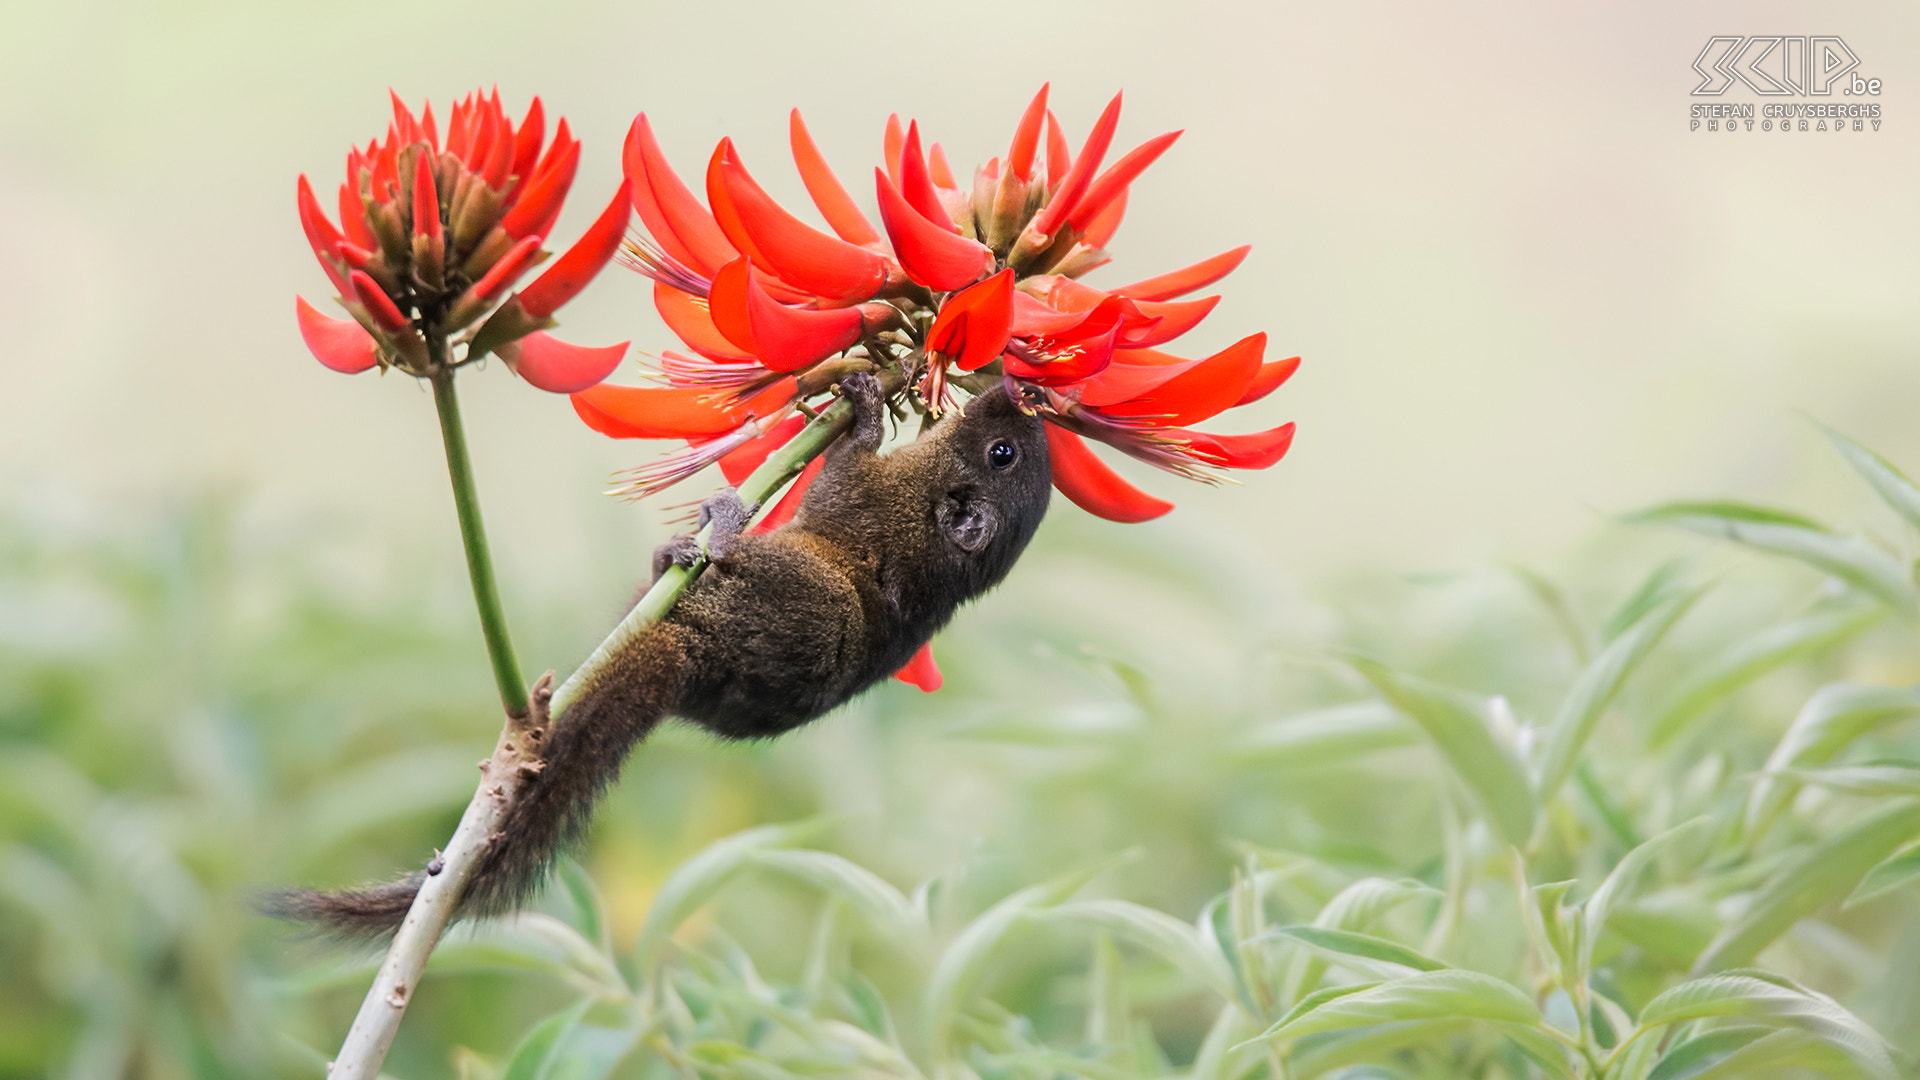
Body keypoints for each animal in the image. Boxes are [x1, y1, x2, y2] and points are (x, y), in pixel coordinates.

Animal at [267, 372, 1052, 940]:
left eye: (1001, 455)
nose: (1018, 394)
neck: (941, 538)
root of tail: (685, 659)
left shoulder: (868, 504)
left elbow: (844, 471)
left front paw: (861, 409)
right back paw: (670, 555)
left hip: (807, 592)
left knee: (738, 558)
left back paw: (722, 525)